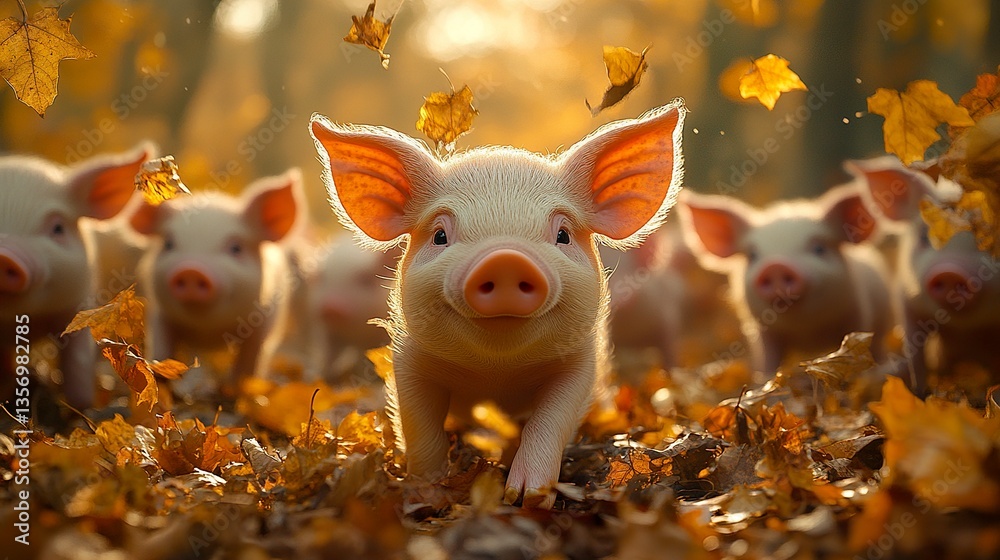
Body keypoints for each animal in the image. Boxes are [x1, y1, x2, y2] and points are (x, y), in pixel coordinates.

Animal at [129, 170, 304, 393]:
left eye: (236, 248)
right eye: (168, 243)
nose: (192, 269)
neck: (208, 332)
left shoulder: (264, 320)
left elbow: (250, 359)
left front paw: (237, 391)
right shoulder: (160, 316)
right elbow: (162, 350)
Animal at [303, 236, 397, 381]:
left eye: (366, 279)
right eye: (319, 278)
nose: (331, 308)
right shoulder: (328, 331)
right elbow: (328, 354)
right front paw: (316, 377)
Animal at [679, 185, 894, 375]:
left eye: (819, 248)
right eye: (752, 255)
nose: (776, 265)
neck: (807, 332)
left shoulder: (858, 313)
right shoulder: (764, 332)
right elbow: (769, 360)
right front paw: (764, 380)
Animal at [846, 157, 1000, 394]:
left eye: (987, 241)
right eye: (924, 237)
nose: (950, 271)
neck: (965, 329)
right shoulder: (905, 300)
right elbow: (915, 353)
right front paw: (918, 392)